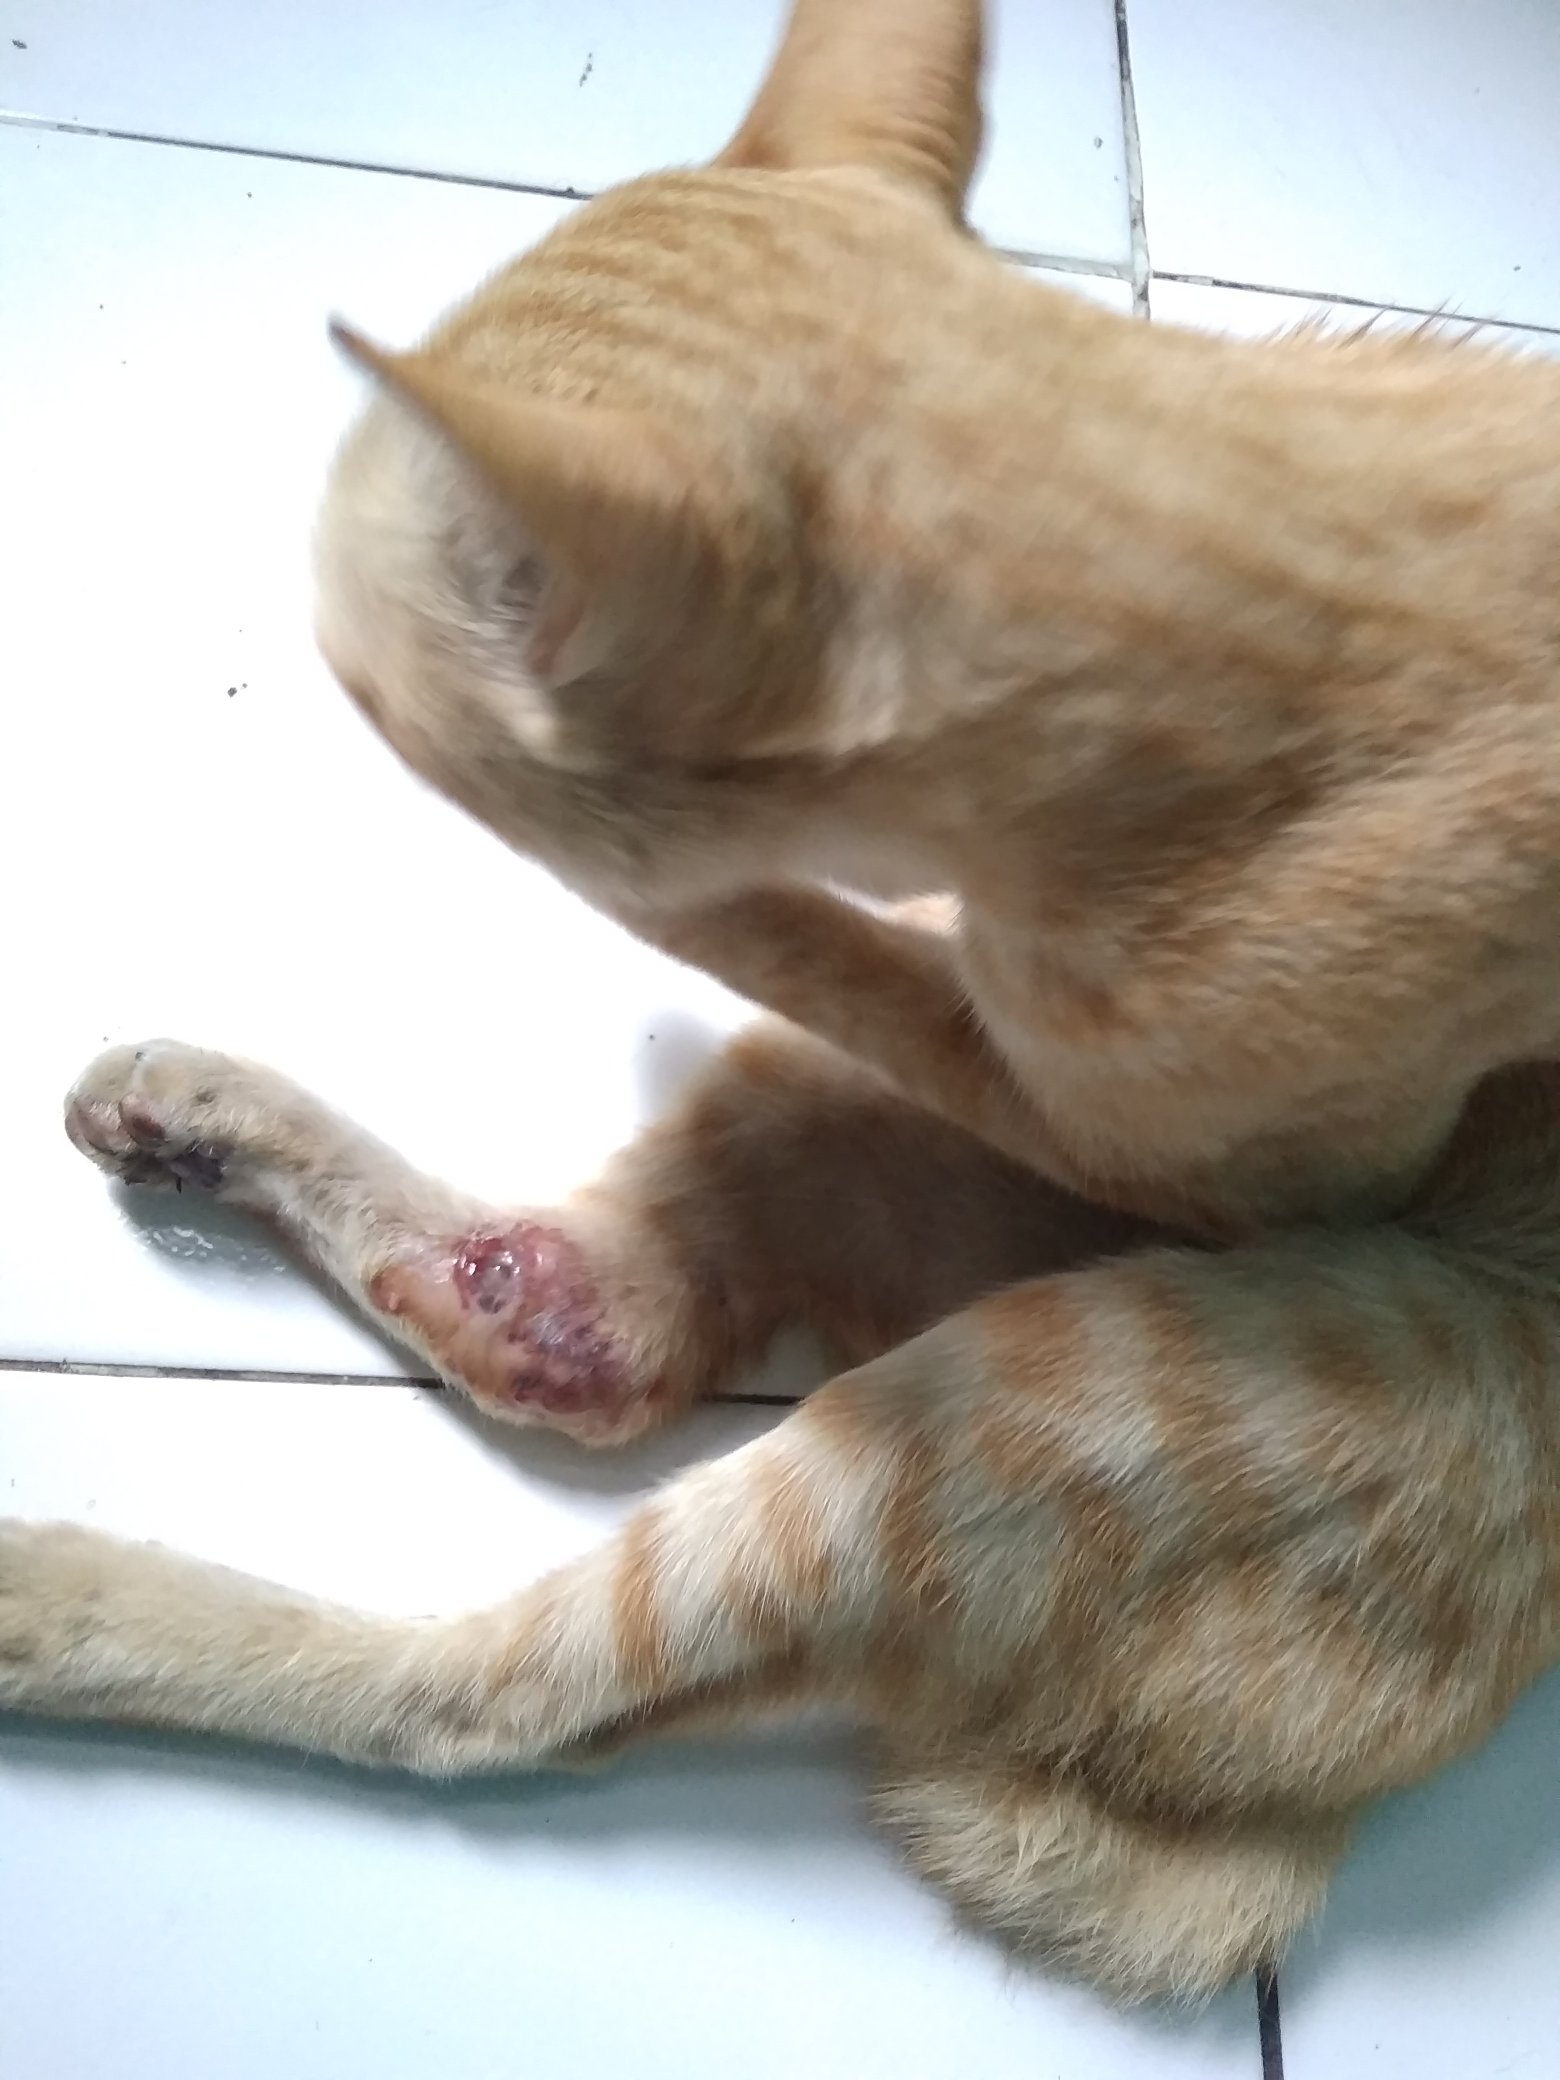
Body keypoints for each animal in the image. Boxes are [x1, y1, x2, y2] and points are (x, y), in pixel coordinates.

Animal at [9, 0, 1560, 2002]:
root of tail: (1286, 1835)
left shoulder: (1240, 1145)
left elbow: (798, 933)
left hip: (1024, 1394)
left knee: (488, 1694)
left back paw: (52, 1598)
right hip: (831, 1159)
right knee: (578, 1323)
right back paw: (195, 1116)